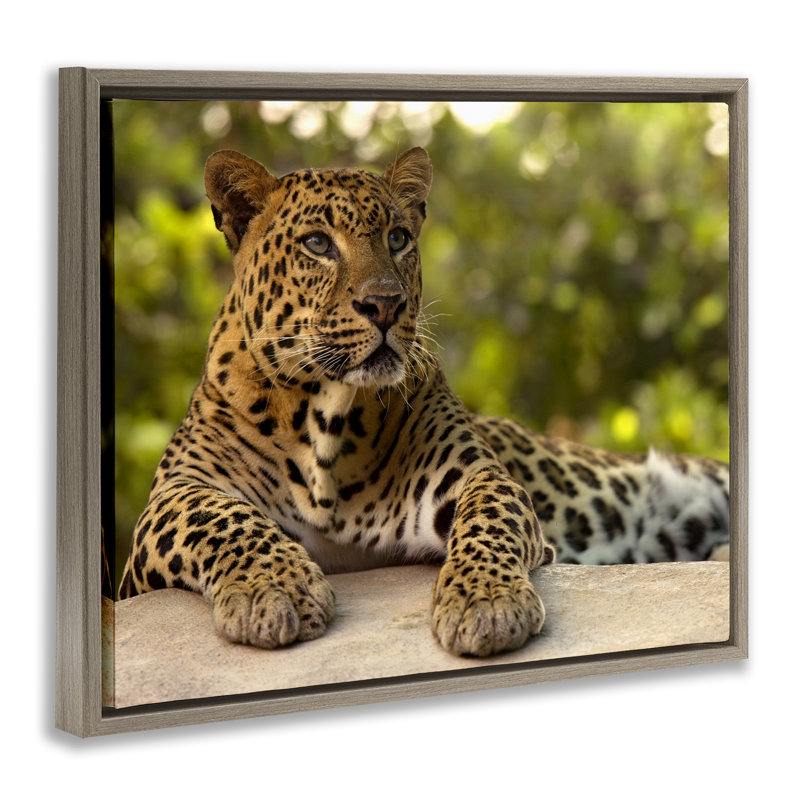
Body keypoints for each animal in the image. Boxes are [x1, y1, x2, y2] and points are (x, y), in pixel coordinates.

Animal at [118, 146, 730, 657]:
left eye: (397, 238)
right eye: (317, 244)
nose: (385, 305)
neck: (325, 416)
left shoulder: (472, 475)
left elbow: (489, 517)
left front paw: (486, 603)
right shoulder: (166, 506)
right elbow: (221, 517)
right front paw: (274, 590)